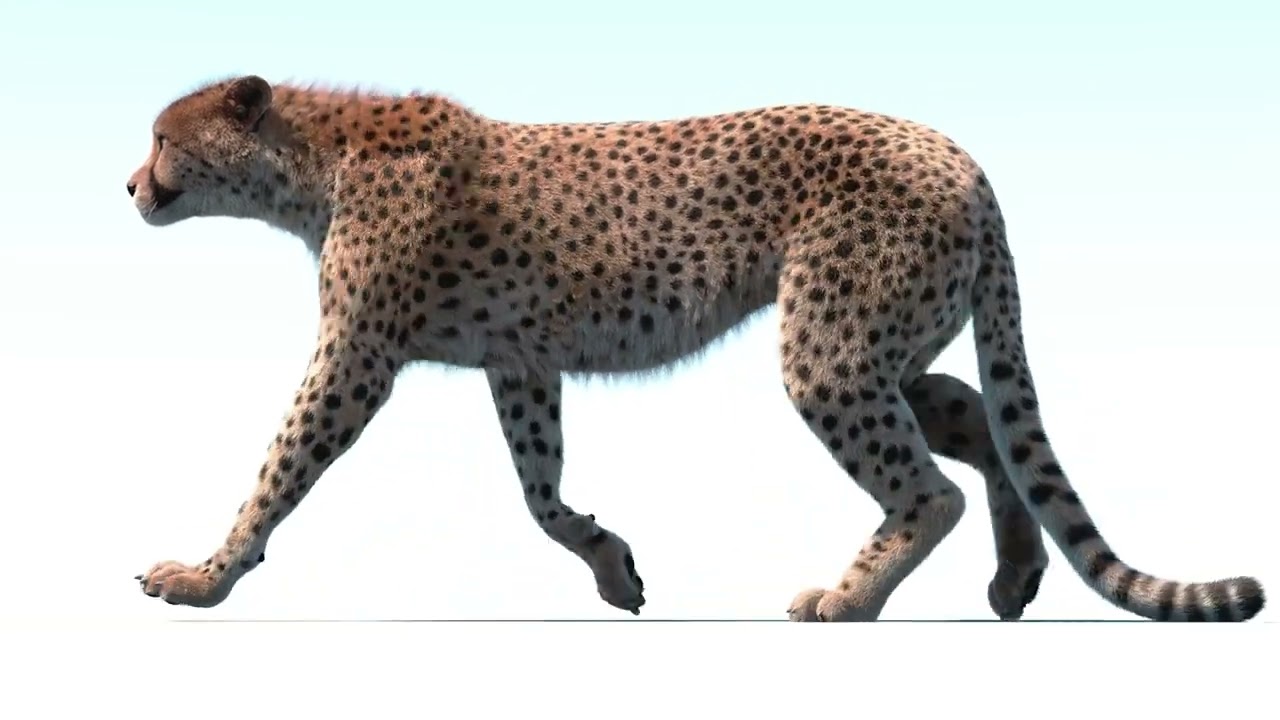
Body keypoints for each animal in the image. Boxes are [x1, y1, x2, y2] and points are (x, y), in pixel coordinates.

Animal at [126, 75, 1266, 621]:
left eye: (163, 137)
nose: (131, 184)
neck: (308, 160)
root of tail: (961, 156)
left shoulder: (357, 359)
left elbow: (277, 470)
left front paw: (204, 576)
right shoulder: (519, 362)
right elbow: (538, 491)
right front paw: (609, 564)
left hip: (830, 348)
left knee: (930, 486)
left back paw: (849, 599)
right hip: (883, 342)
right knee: (977, 416)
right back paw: (1015, 576)